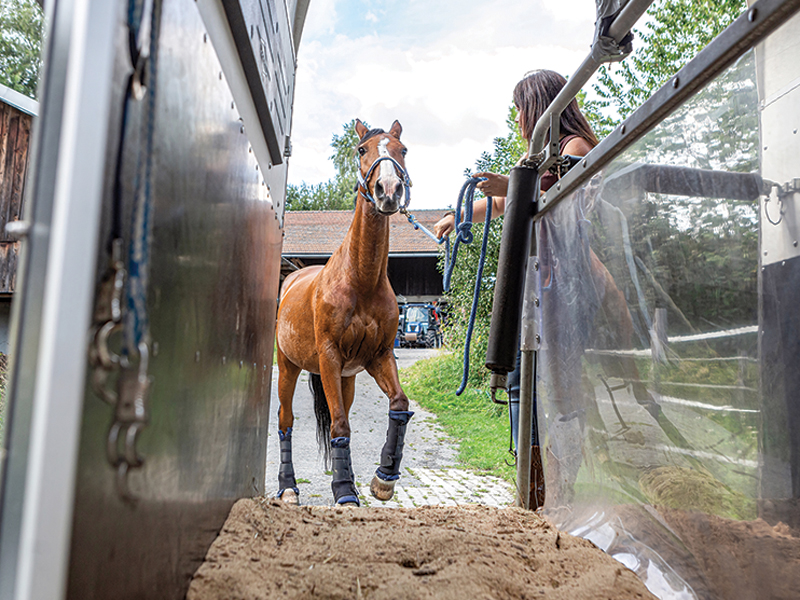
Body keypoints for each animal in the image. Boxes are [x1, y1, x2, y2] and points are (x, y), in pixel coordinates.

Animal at [274, 119, 414, 506]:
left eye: (402, 149)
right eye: (362, 150)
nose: (388, 190)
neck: (361, 281)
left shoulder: (378, 356)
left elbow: (399, 403)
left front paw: (384, 478)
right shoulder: (330, 358)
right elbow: (338, 424)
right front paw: (344, 490)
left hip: (346, 378)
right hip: (288, 367)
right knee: (285, 420)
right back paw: (287, 488)